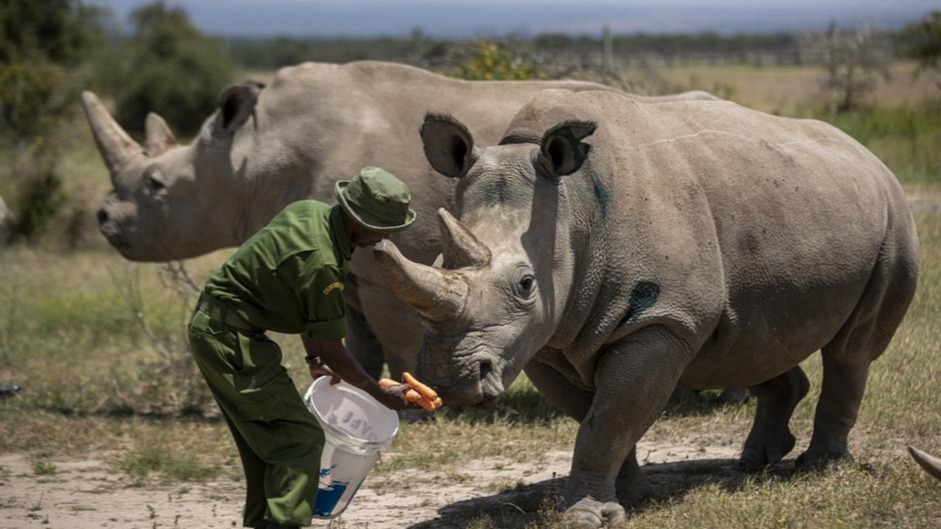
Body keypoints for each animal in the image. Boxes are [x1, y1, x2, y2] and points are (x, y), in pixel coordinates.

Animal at [374, 88, 919, 526]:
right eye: (438, 261)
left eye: (526, 284)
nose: (450, 381)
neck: (573, 209)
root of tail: (865, 153)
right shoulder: (546, 336)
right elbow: (598, 415)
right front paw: (629, 496)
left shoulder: (661, 320)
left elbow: (609, 418)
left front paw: (587, 516)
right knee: (753, 337)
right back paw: (757, 461)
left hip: (894, 217)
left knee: (851, 349)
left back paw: (819, 466)